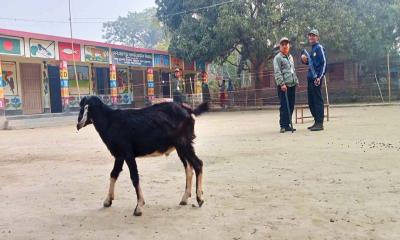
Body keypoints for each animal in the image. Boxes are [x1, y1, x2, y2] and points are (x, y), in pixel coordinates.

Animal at [77, 95, 209, 216]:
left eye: (83, 107)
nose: (78, 125)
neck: (110, 120)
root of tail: (187, 110)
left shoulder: (128, 154)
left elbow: (134, 177)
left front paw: (139, 206)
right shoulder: (119, 155)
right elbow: (114, 174)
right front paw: (107, 201)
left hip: (184, 143)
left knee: (198, 164)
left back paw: (199, 199)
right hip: (180, 147)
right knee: (188, 168)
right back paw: (184, 199)